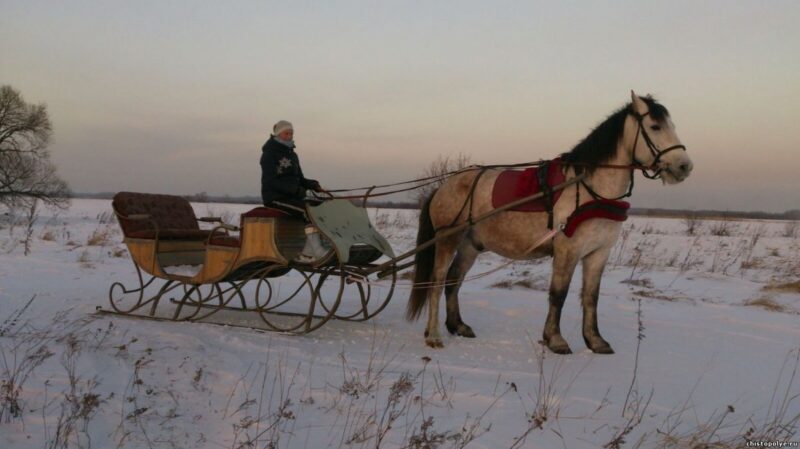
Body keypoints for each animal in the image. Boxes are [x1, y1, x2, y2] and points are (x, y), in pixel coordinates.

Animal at [410, 91, 692, 352]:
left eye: (672, 126)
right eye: (655, 127)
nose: (684, 167)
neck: (589, 188)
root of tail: (443, 186)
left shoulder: (599, 252)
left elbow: (591, 297)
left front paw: (595, 341)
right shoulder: (568, 250)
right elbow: (559, 294)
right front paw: (555, 340)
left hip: (471, 245)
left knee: (453, 280)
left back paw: (457, 325)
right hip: (447, 239)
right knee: (436, 282)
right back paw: (433, 335)